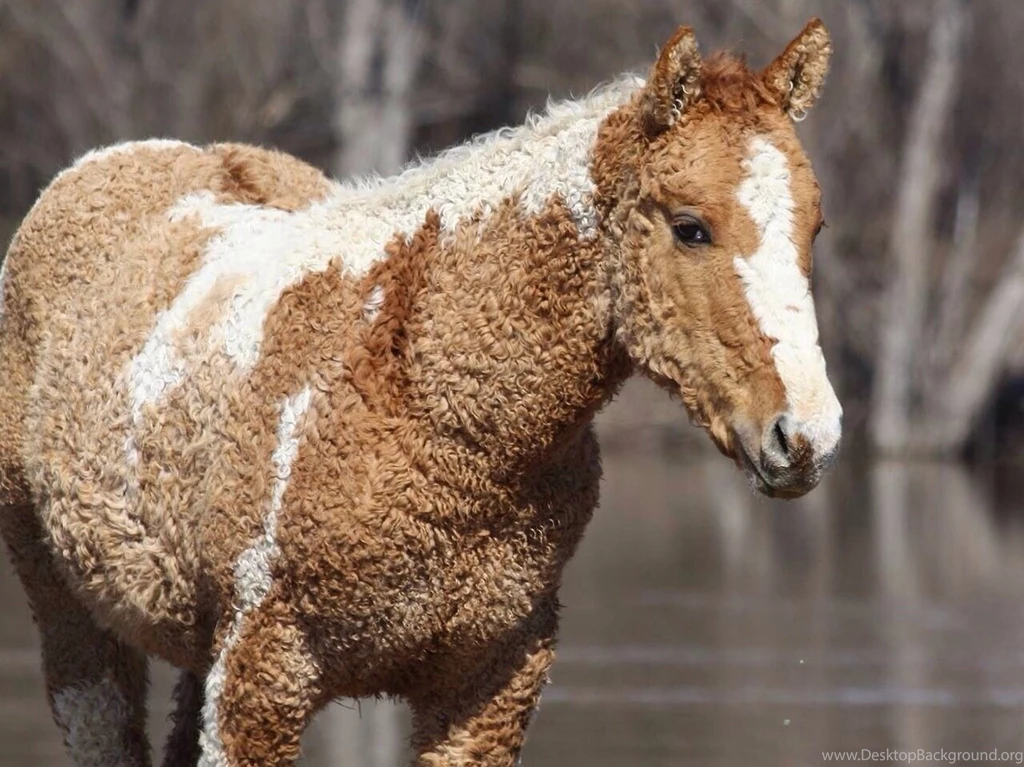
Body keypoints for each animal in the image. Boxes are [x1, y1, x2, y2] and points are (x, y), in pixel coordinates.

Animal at [0, 19, 840, 767]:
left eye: (815, 228)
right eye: (691, 226)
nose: (806, 436)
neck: (437, 412)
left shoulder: (488, 682)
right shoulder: (260, 674)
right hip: (74, 620)